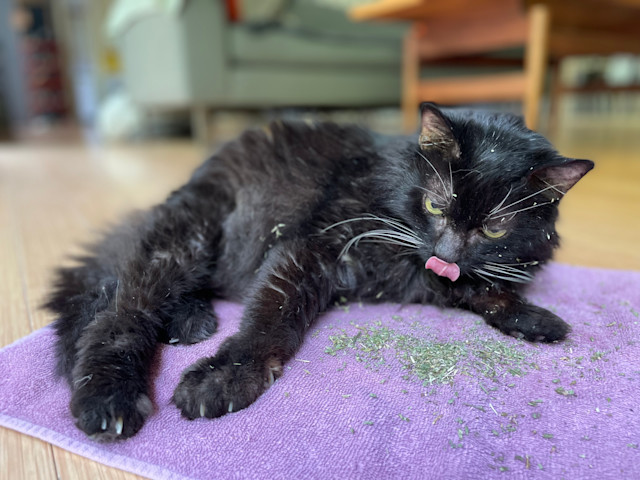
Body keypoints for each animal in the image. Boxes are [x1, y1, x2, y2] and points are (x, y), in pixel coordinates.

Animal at [46, 103, 596, 440]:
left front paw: (533, 317)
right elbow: (271, 319)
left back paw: (190, 320)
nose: (447, 252)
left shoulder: (433, 274)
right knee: (118, 314)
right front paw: (227, 378)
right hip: (186, 239)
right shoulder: (313, 250)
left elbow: (478, 286)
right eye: (435, 207)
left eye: (496, 230)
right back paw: (109, 396)